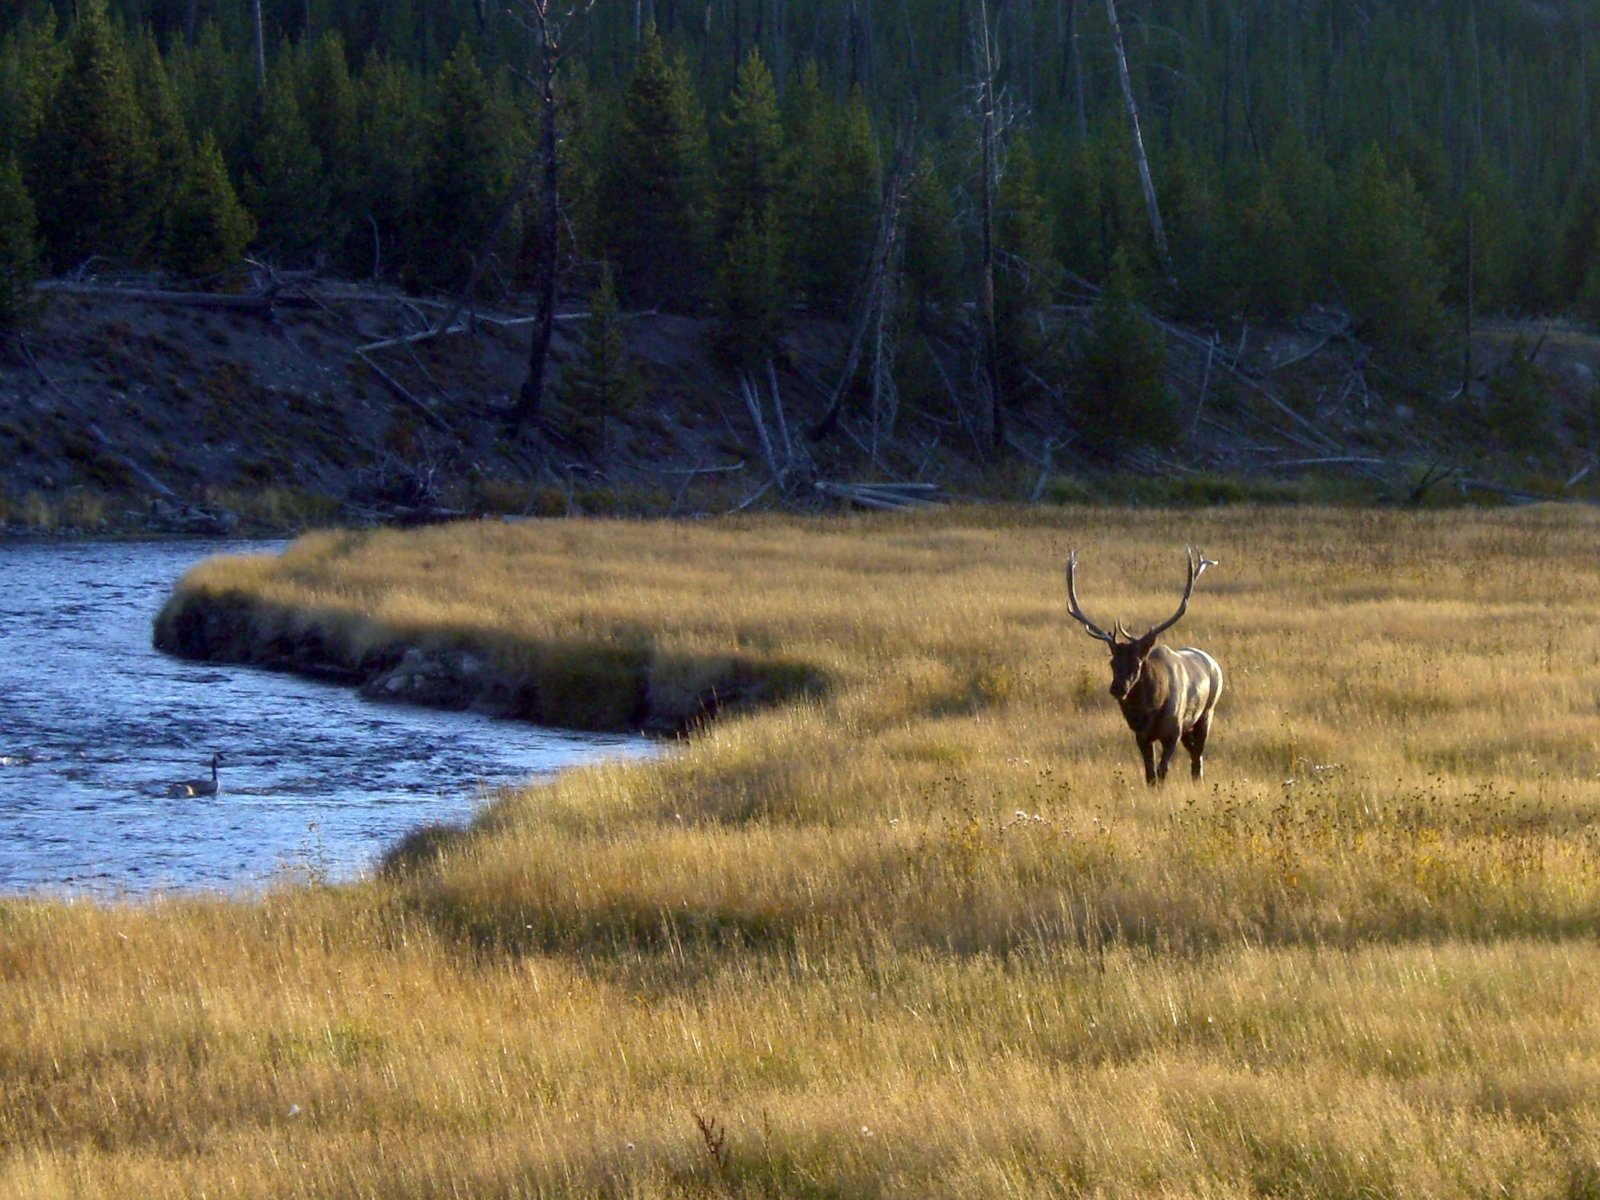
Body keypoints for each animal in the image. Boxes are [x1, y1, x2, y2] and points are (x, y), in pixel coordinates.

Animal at [1062, 547, 1222, 790]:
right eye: (1112, 662)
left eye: (1137, 663)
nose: (1117, 688)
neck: (1151, 708)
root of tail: (1214, 663)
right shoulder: (1141, 735)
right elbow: (1150, 774)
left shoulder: (1173, 731)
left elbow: (1162, 771)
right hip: (1189, 727)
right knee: (1195, 754)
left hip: (1206, 713)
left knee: (1198, 756)